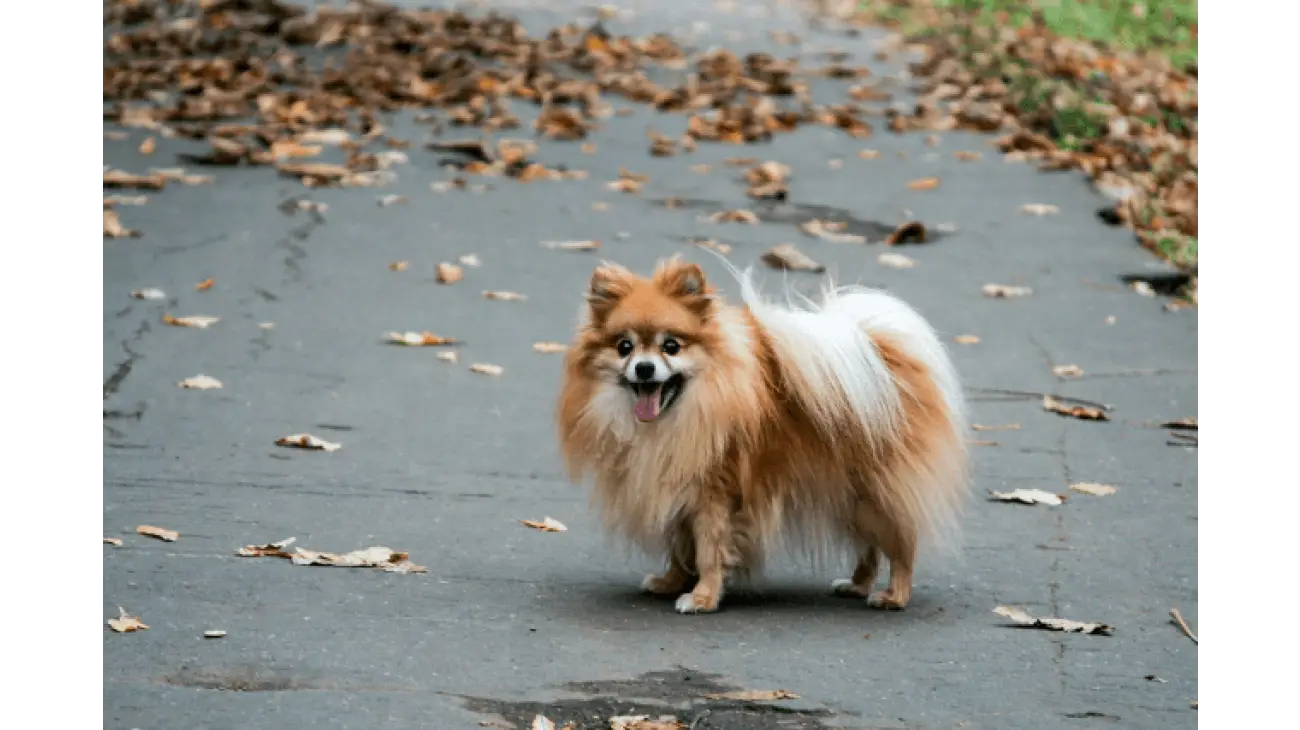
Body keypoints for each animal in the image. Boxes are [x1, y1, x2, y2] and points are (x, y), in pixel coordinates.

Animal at [553, 253, 972, 610]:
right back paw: (857, 584)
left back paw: (893, 596)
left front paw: (702, 597)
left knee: (901, 541)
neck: (676, 417)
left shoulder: (714, 494)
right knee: (869, 544)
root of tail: (880, 352)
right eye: (624, 347)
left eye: (671, 346)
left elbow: (708, 548)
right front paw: (672, 581)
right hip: (850, 493)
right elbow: (681, 545)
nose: (643, 368)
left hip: (876, 490)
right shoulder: (678, 486)